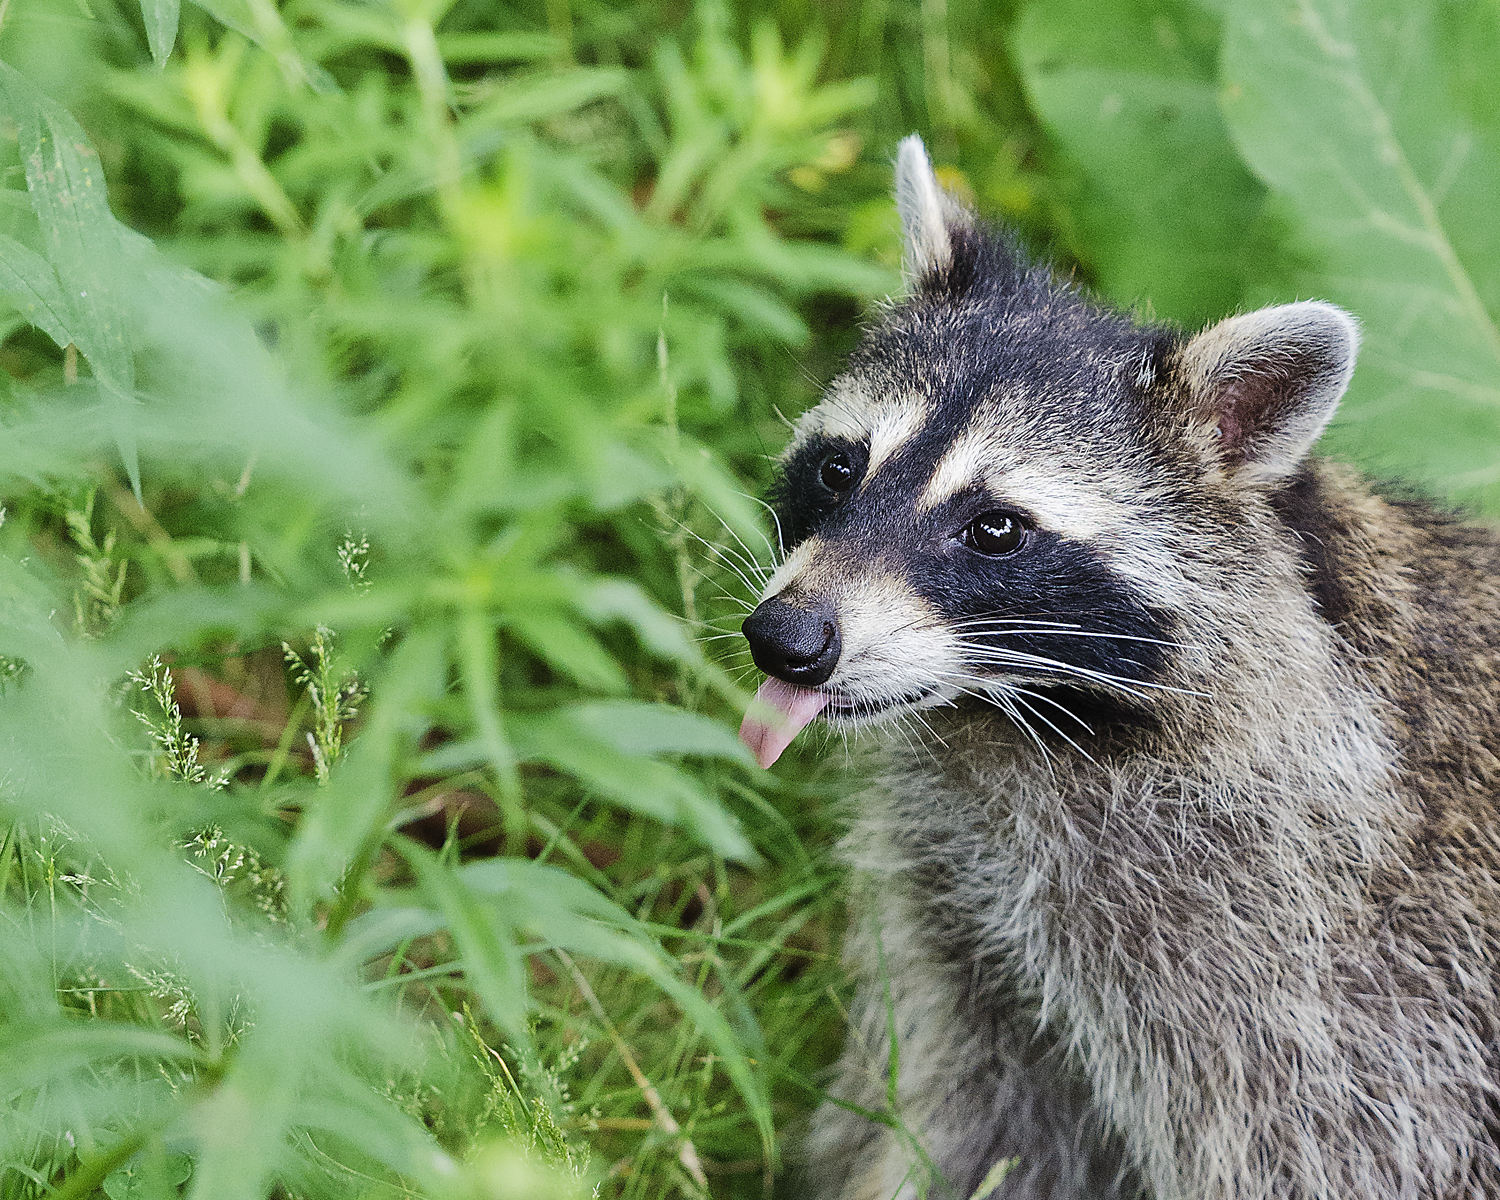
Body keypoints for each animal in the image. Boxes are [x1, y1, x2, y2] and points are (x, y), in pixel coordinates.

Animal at [738, 136, 1500, 1200]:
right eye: (841, 468)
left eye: (996, 528)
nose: (788, 639)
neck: (1023, 728)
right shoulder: (977, 930)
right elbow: (977, 1112)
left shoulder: (1337, 993)